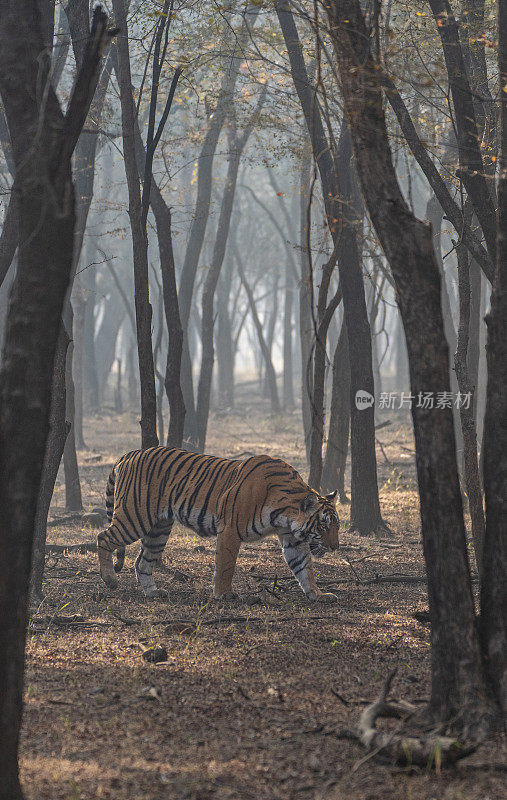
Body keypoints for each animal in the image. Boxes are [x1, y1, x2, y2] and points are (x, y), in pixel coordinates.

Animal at [96, 446, 340, 604]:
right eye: (323, 526)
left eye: (336, 526)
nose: (335, 547)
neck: (284, 513)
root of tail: (131, 453)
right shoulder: (230, 530)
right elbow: (225, 565)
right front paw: (223, 594)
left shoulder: (292, 539)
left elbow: (304, 567)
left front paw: (317, 594)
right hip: (134, 516)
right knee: (104, 537)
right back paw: (109, 579)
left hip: (159, 528)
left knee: (142, 562)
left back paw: (153, 593)